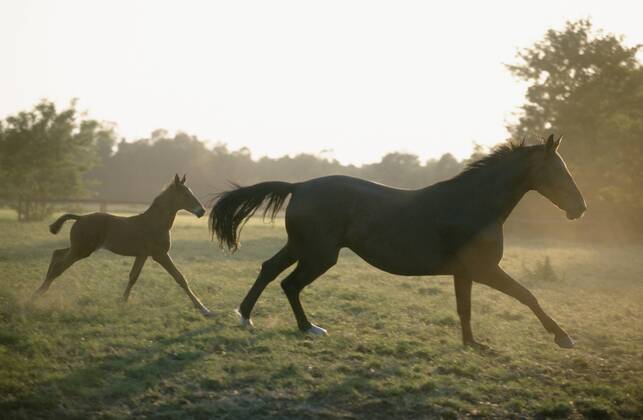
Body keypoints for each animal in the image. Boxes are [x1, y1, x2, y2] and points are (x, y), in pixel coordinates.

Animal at [32, 174, 213, 316]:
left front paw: (122, 301)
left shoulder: (142, 255)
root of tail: (80, 217)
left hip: (79, 248)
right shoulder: (160, 255)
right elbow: (180, 278)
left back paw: (40, 291)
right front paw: (204, 309)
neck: (154, 222)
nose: (202, 211)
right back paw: (37, 294)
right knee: (59, 266)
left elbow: (133, 277)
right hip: (81, 250)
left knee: (57, 253)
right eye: (185, 194)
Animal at [210, 135, 586, 348]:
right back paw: (307, 328)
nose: (580, 209)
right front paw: (563, 337)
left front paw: (472, 344)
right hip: (319, 255)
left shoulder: (464, 273)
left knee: (270, 270)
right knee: (289, 283)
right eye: (558, 171)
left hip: (302, 248)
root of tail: (299, 187)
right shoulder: (485, 269)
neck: (471, 205)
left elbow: (464, 308)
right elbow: (527, 295)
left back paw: (247, 317)